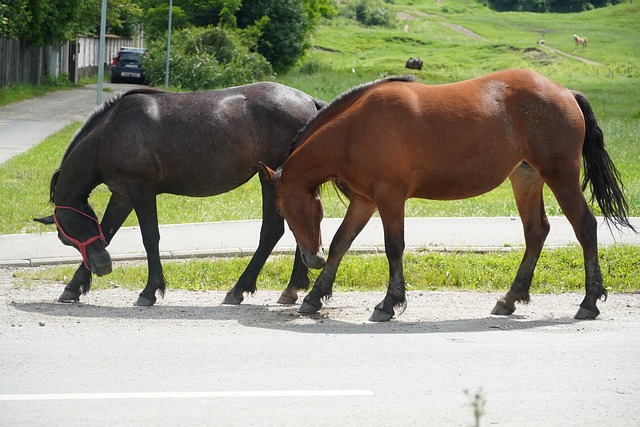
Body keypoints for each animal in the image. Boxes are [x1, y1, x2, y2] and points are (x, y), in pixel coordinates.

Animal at [33, 82, 324, 306]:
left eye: (63, 238)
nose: (103, 265)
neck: (110, 132)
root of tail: (310, 101)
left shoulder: (141, 191)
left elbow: (150, 238)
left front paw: (150, 291)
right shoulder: (122, 195)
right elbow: (107, 231)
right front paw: (74, 286)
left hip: (270, 178)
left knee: (273, 230)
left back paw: (240, 289)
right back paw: (291, 288)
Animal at [260, 70, 636, 322]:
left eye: (284, 208)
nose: (312, 258)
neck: (354, 128)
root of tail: (564, 92)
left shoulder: (389, 197)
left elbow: (394, 247)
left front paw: (389, 302)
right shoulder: (365, 200)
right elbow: (341, 242)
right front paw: (314, 296)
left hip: (560, 176)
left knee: (585, 227)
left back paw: (588, 302)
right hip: (526, 177)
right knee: (535, 232)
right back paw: (511, 298)